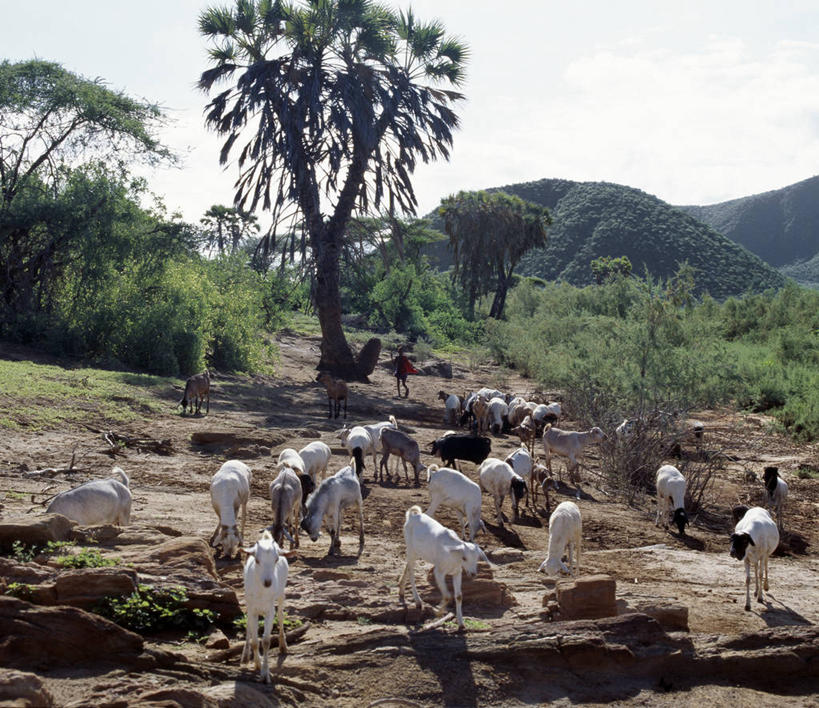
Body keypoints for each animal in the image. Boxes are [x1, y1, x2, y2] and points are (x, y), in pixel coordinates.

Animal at [242, 532, 290, 680]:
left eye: (276, 560)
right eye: (257, 560)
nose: (268, 582)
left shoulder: (269, 610)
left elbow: (266, 641)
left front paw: (265, 674)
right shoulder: (252, 609)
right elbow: (255, 640)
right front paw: (257, 665)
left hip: (281, 593)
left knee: (280, 615)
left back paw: (283, 646)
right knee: (248, 624)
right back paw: (245, 656)